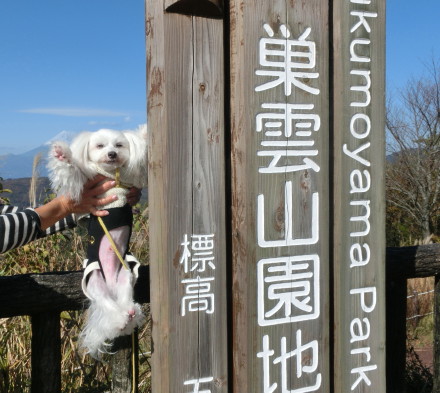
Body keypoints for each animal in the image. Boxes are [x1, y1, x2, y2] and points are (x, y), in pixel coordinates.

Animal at [47, 125, 148, 358]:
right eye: (100, 146)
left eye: (119, 145)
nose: (112, 154)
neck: (111, 174)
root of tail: (110, 283)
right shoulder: (86, 180)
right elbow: (73, 170)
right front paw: (61, 155)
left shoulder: (130, 177)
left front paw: (144, 133)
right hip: (94, 281)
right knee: (106, 302)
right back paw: (120, 318)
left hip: (125, 275)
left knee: (122, 297)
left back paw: (129, 312)